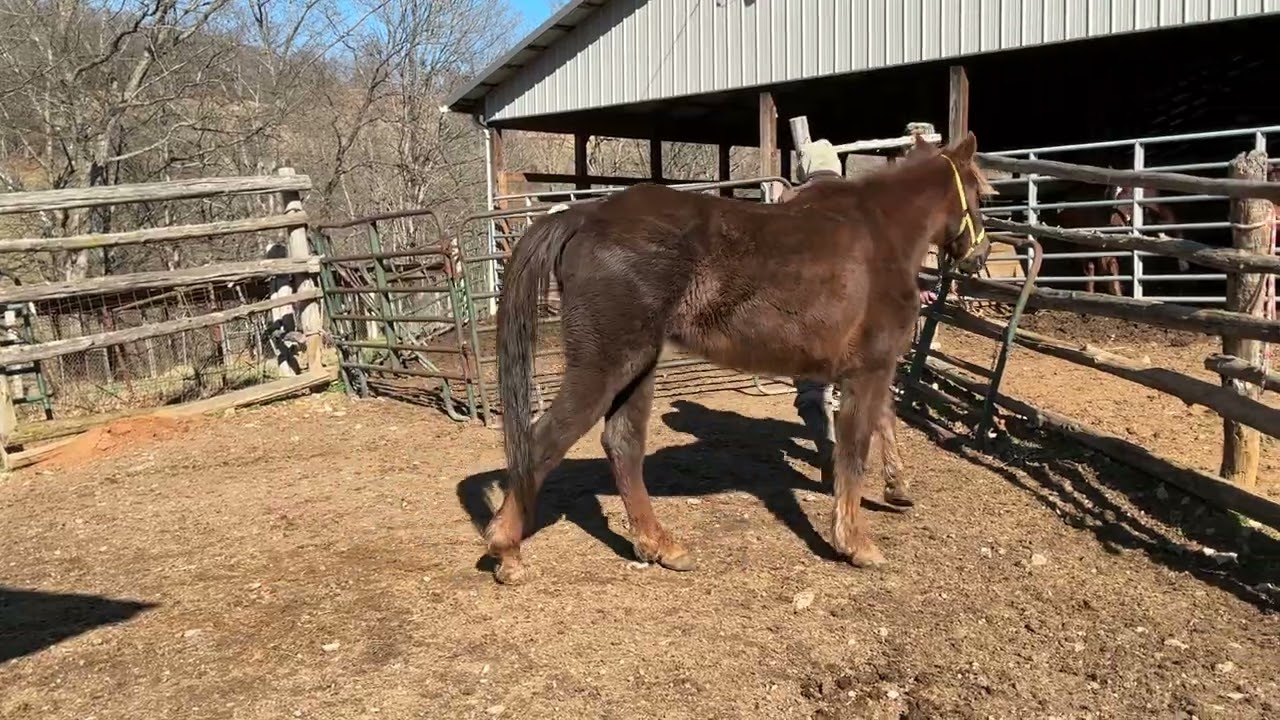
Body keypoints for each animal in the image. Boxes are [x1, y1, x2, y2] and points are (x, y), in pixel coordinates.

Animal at [484, 132, 995, 585]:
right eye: (981, 194)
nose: (980, 255)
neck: (880, 236)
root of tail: (585, 215)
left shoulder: (866, 370)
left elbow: (880, 424)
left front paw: (896, 489)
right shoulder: (869, 369)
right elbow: (854, 452)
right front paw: (857, 544)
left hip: (639, 366)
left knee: (623, 444)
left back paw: (661, 546)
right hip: (604, 365)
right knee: (542, 441)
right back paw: (506, 550)